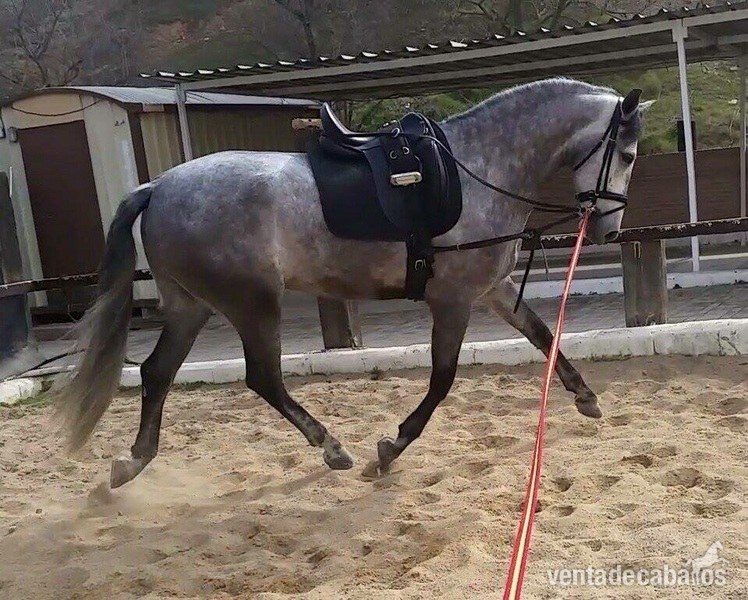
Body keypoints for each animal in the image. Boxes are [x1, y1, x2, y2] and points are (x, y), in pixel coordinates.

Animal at [51, 77, 652, 489]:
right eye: (625, 154)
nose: (608, 228)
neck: (478, 169)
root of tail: (157, 186)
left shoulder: (493, 289)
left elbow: (544, 335)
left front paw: (586, 397)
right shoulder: (453, 300)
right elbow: (442, 380)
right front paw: (389, 449)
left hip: (190, 305)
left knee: (157, 373)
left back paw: (133, 462)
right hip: (252, 303)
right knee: (262, 378)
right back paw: (332, 448)